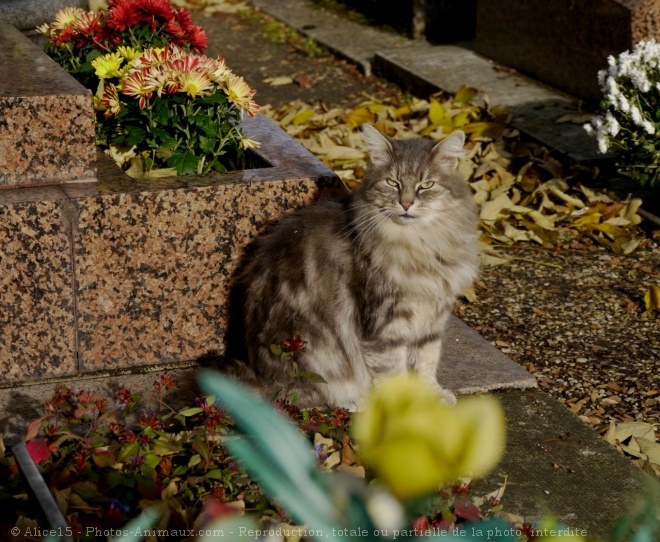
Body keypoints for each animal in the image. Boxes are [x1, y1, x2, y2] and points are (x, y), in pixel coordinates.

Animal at [237, 125, 480, 410]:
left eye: (426, 185)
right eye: (393, 183)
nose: (406, 204)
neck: (422, 244)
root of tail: (260, 377)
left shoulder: (431, 319)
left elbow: (426, 362)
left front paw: (432, 396)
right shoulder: (386, 325)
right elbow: (395, 372)